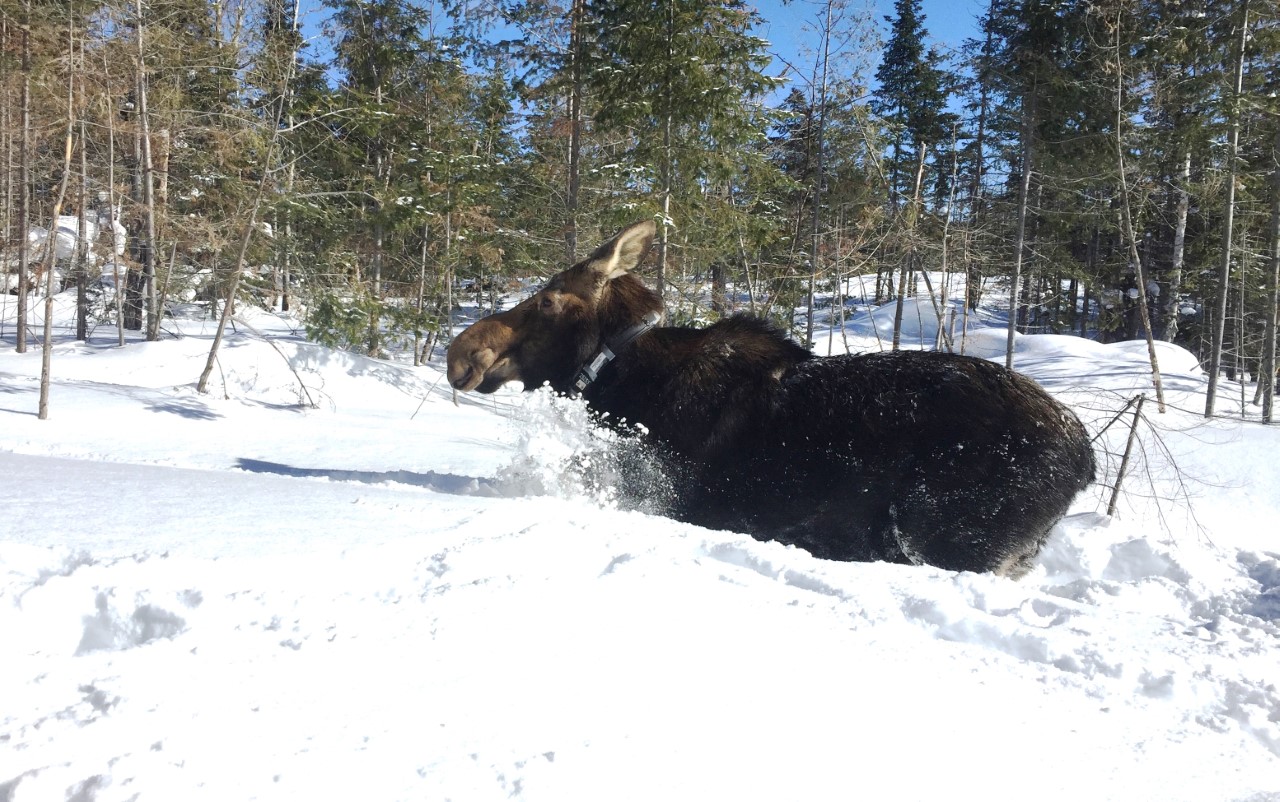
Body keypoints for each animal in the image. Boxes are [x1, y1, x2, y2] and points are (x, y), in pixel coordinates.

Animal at [445, 221, 1095, 578]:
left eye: (548, 300)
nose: (462, 354)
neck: (619, 381)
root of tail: (1085, 459)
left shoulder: (674, 500)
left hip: (945, 538)